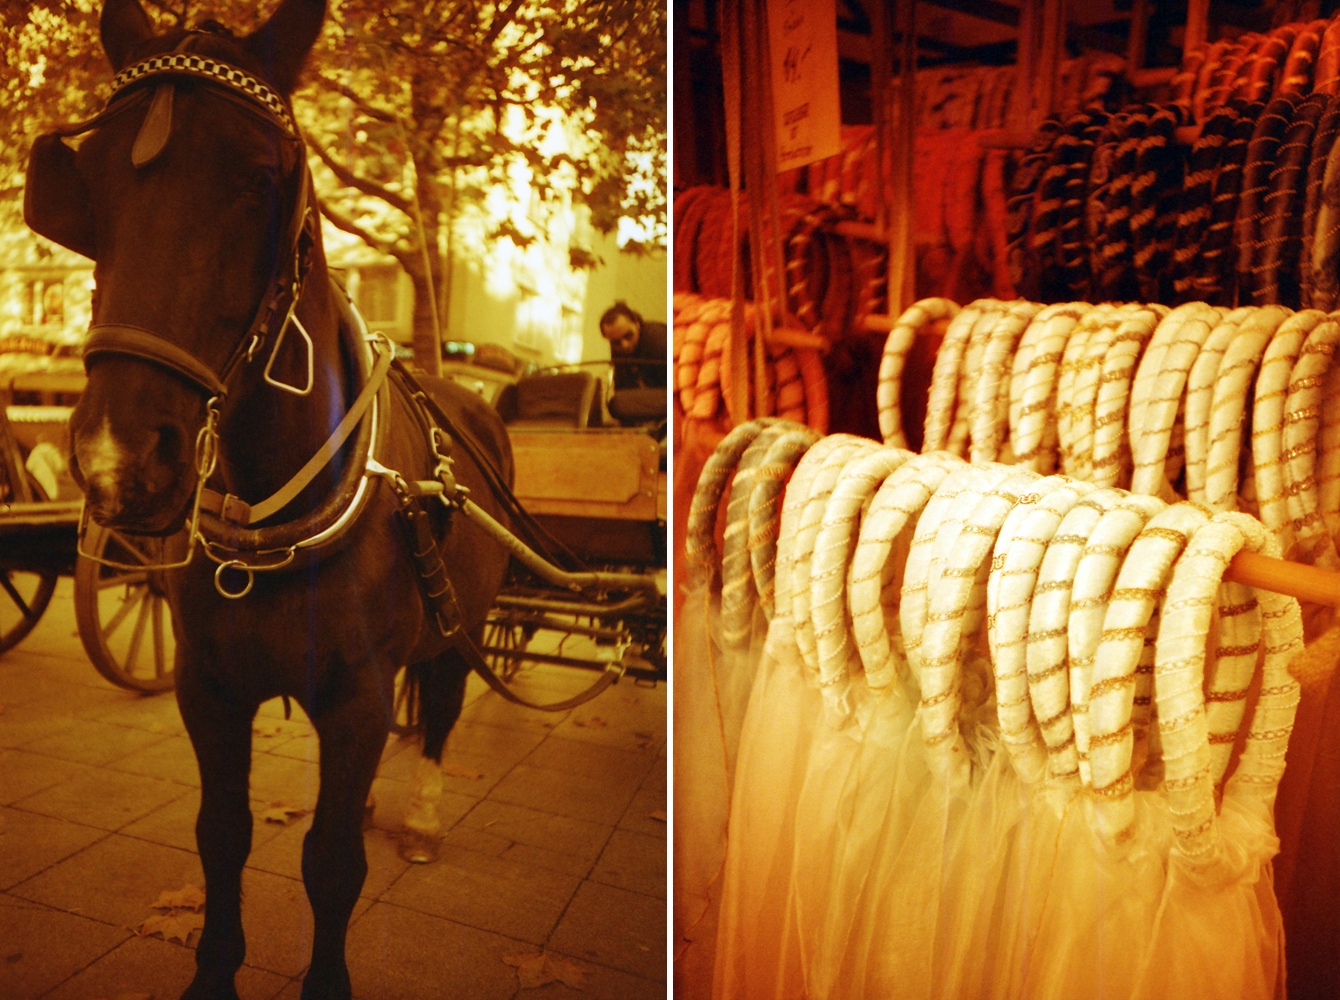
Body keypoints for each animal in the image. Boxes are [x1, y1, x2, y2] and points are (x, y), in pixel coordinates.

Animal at [32, 1, 511, 997]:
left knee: (443, 706)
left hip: (463, 626)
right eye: (88, 184)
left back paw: (421, 816)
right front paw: (213, 969)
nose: (116, 457)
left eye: (260, 179)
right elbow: (222, 837)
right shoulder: (208, 689)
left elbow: (329, 864)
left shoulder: (358, 692)